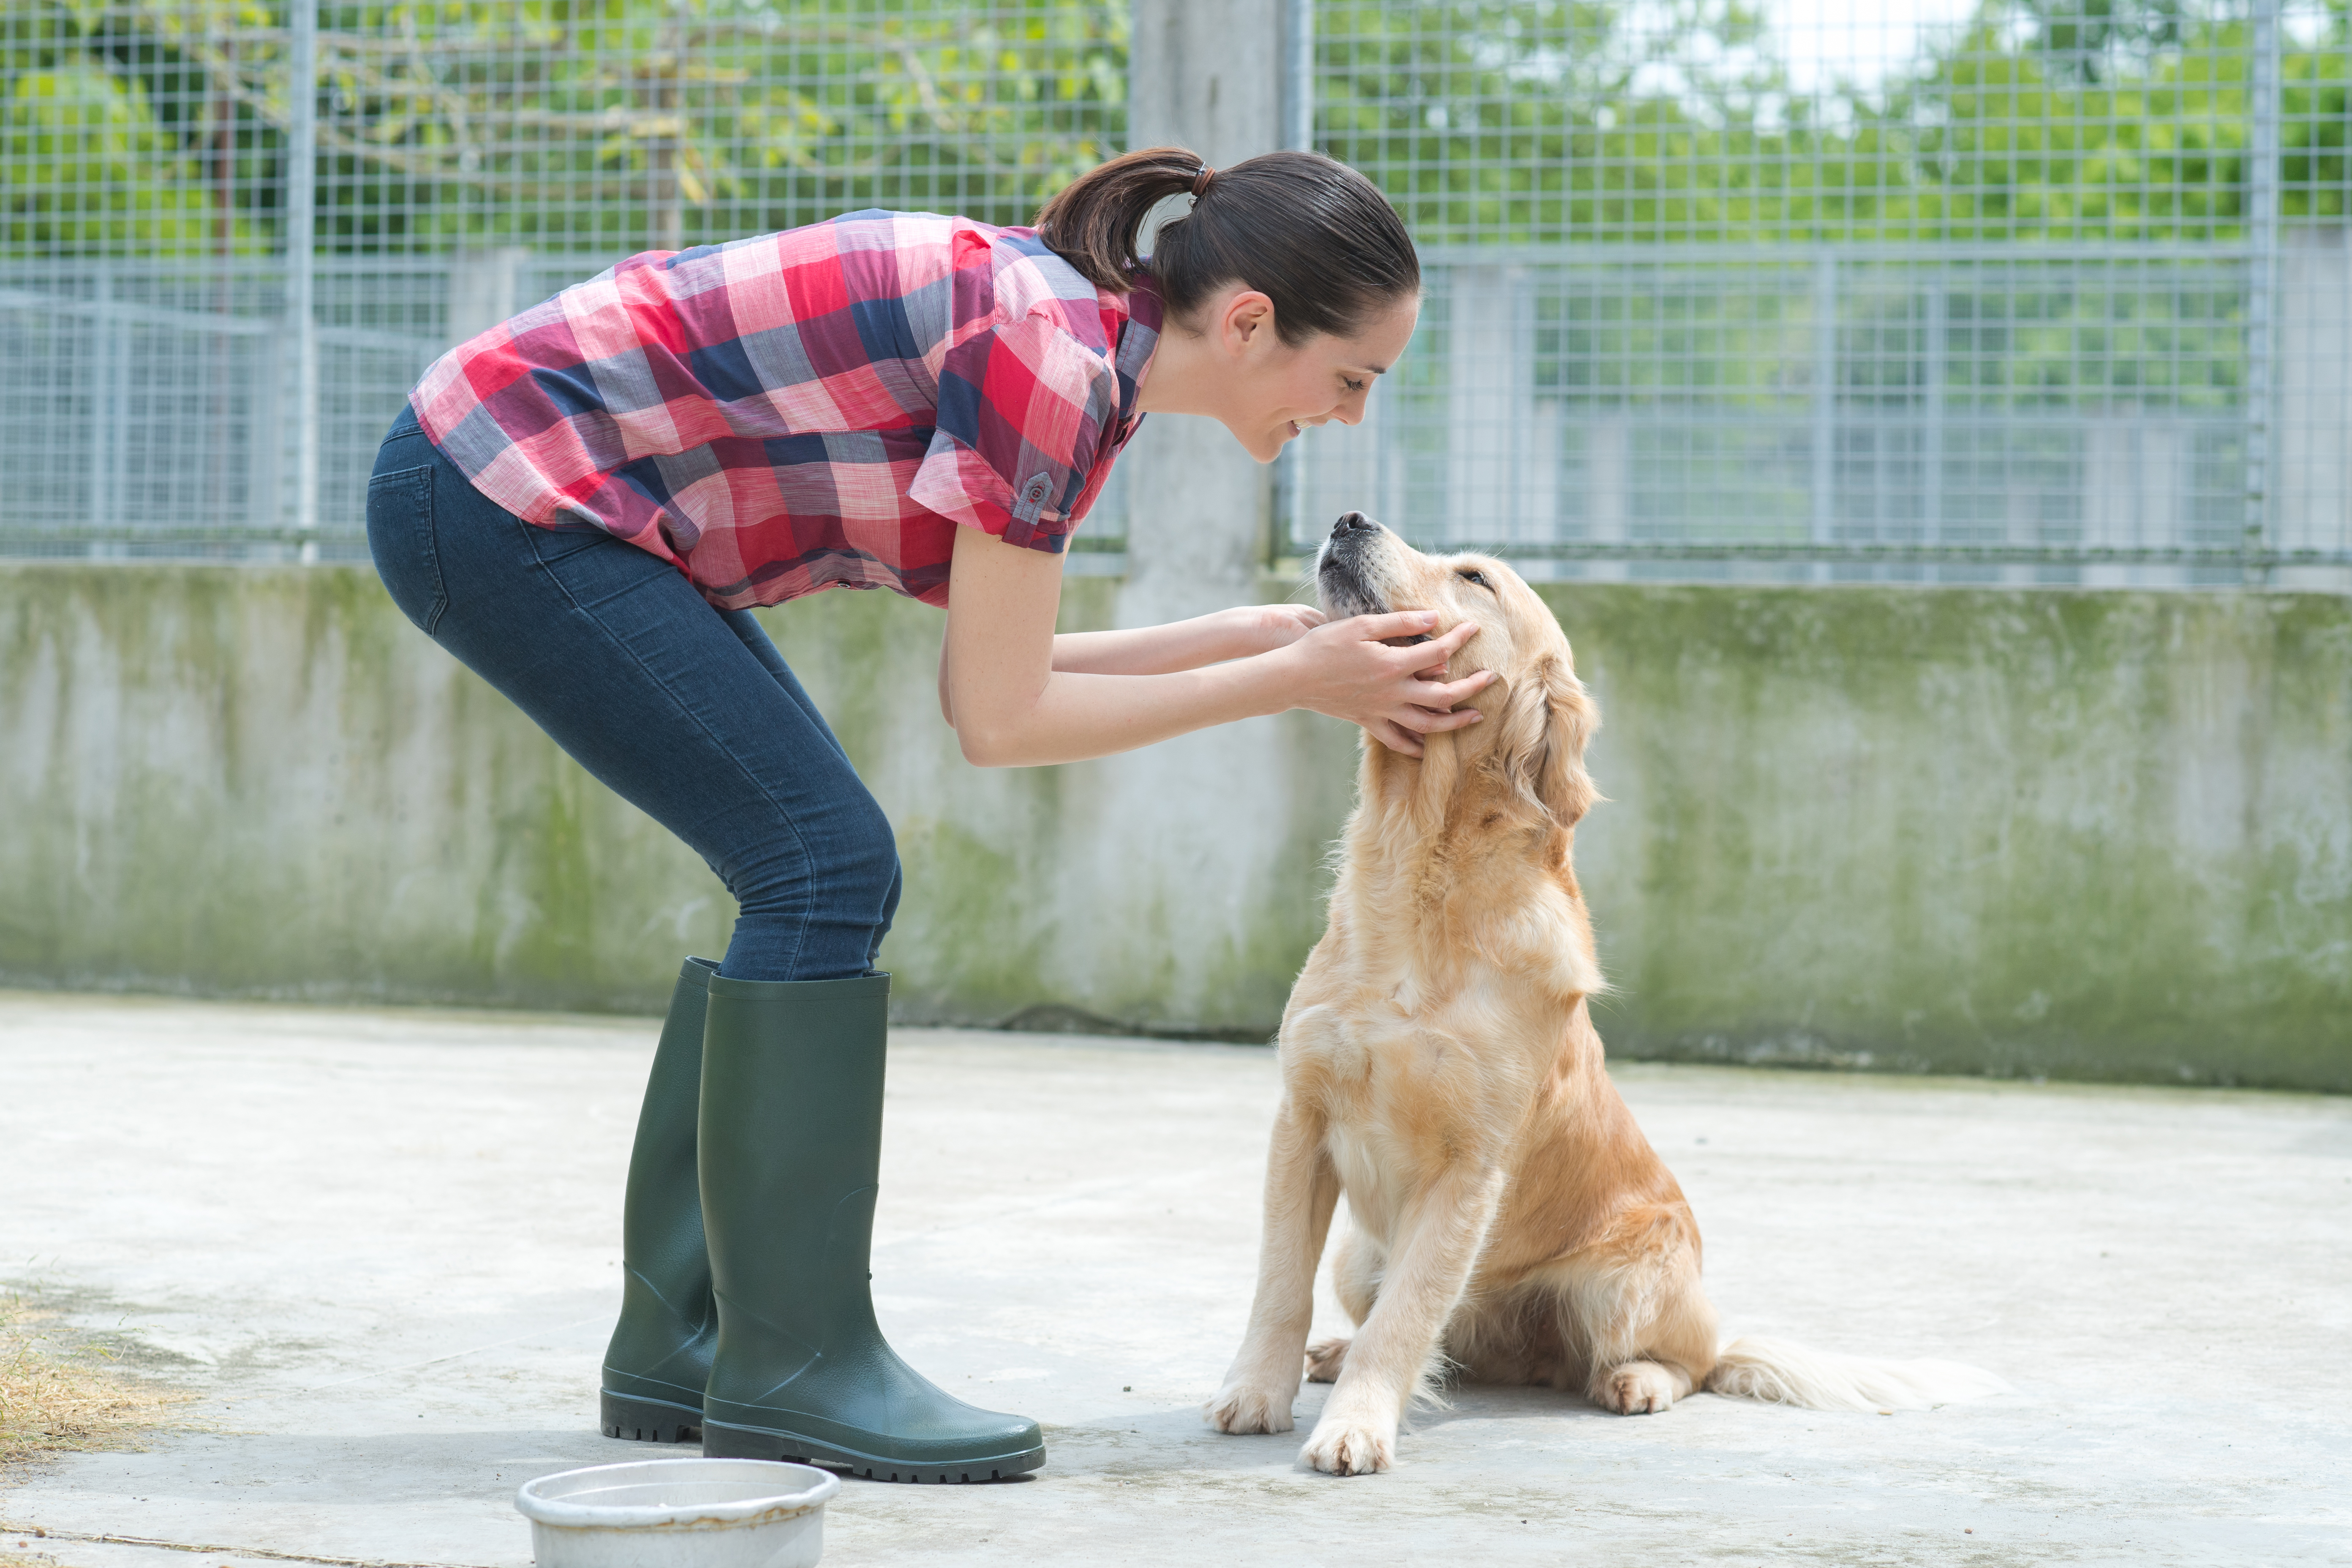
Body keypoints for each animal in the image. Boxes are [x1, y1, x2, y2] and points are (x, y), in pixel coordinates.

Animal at [1214, 512, 2004, 1476]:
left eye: (1474, 577)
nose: (1348, 519)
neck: (1419, 873)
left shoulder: (1466, 1167)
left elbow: (1403, 1320)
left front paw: (1356, 1426)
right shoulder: (1303, 1119)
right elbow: (1280, 1282)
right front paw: (1258, 1390)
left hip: (1628, 1276)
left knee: (1688, 1362)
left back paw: (1638, 1379)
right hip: (1361, 1254)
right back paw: (1337, 1352)